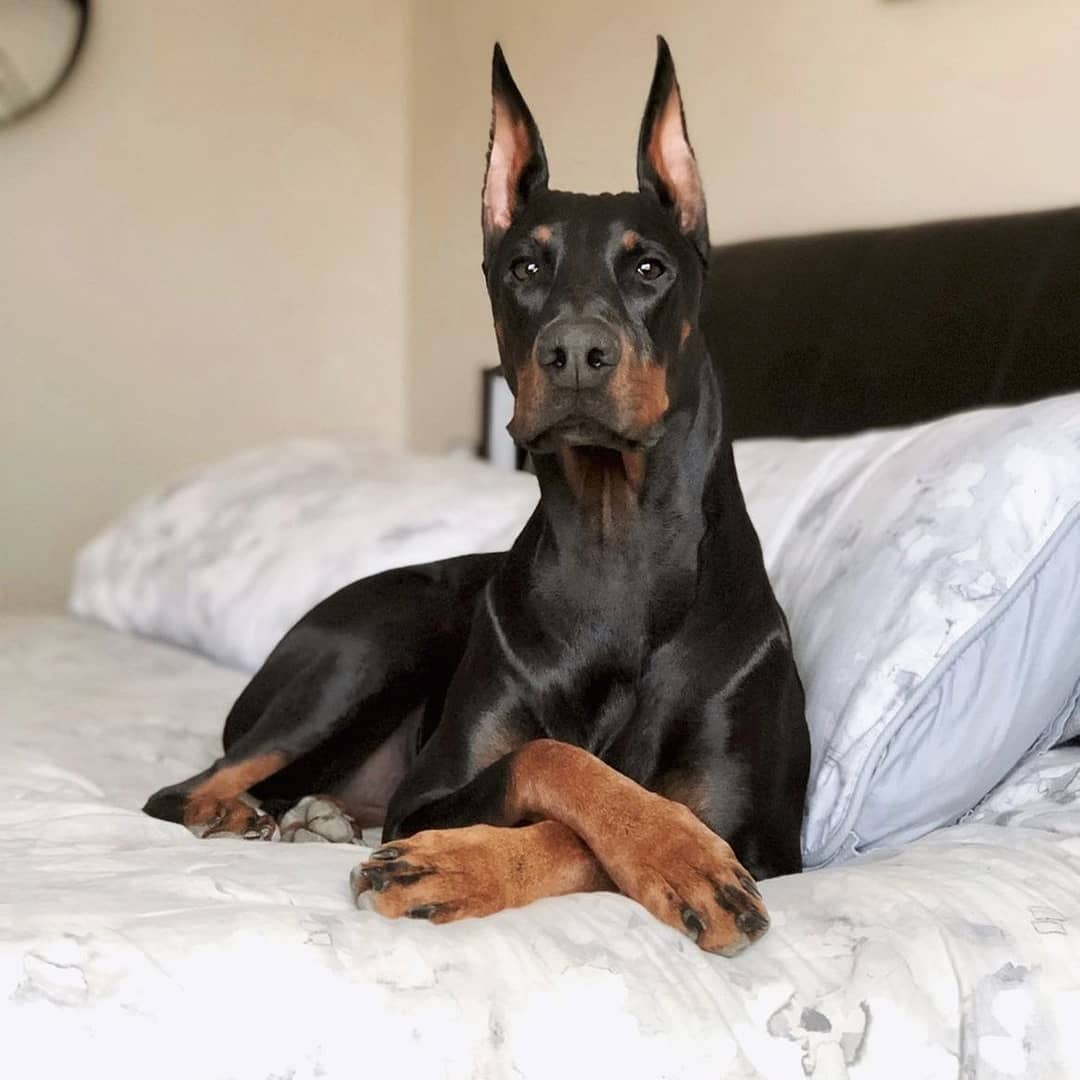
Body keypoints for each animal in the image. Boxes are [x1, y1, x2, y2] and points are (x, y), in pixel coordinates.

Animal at [150, 38, 812, 959]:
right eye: (525, 267)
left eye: (650, 266)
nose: (575, 352)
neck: (614, 541)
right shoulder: (425, 796)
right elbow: (550, 763)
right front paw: (457, 861)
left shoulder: (759, 830)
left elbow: (619, 821)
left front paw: (677, 858)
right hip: (376, 642)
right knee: (186, 788)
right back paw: (238, 813)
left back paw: (317, 818)